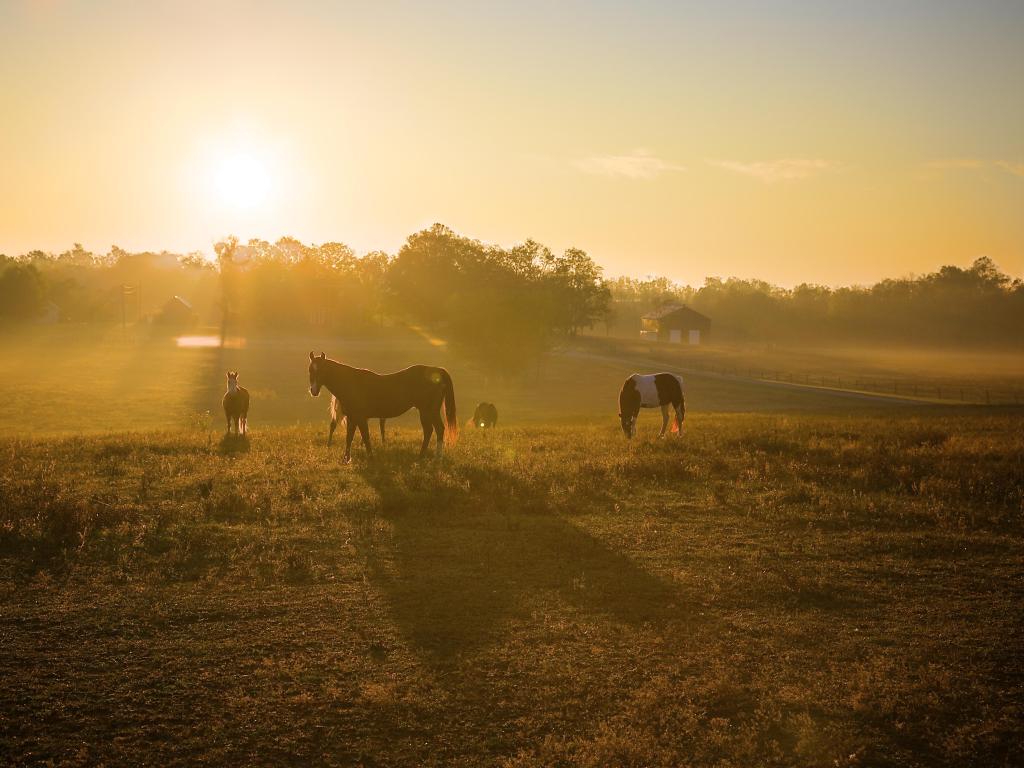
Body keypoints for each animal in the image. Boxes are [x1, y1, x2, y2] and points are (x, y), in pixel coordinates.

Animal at [307, 354, 460, 462]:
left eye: (322, 370)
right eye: (310, 370)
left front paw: (370, 457)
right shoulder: (352, 417)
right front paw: (346, 459)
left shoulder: (360, 418)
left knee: (437, 429)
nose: (314, 391)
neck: (352, 382)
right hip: (426, 412)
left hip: (429, 411)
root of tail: (437, 370)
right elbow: (349, 437)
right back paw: (421, 456)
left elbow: (365, 436)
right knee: (430, 431)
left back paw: (436, 457)